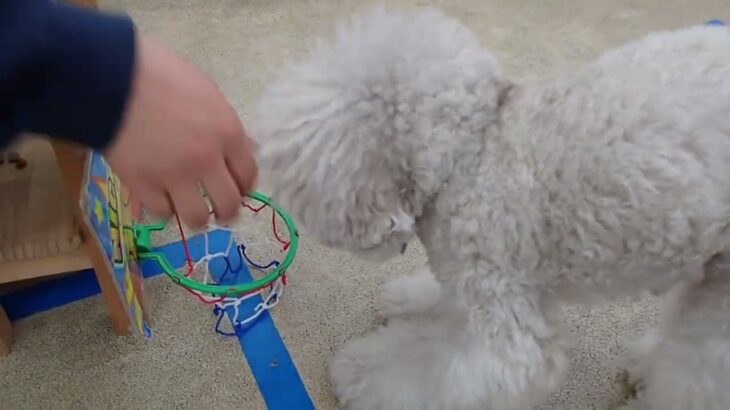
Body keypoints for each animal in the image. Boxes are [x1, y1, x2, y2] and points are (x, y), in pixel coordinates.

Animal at [253, 7, 728, 410]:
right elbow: (444, 300)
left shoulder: (505, 328)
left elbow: (431, 372)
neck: (472, 152)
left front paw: (361, 375)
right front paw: (412, 299)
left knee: (694, 375)